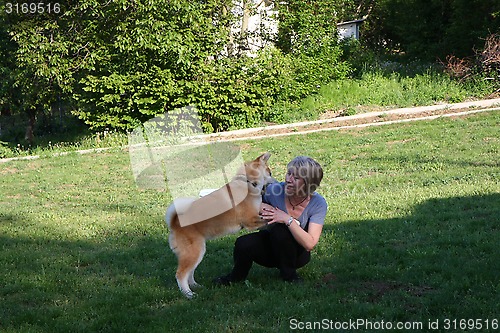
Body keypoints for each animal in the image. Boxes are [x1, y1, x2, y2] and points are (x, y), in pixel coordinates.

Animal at [165, 152, 276, 296]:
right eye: (270, 172)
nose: (276, 182)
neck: (247, 182)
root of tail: (174, 223)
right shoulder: (250, 221)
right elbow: (267, 221)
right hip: (194, 252)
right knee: (181, 274)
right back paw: (188, 294)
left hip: (197, 252)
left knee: (190, 272)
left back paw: (195, 286)